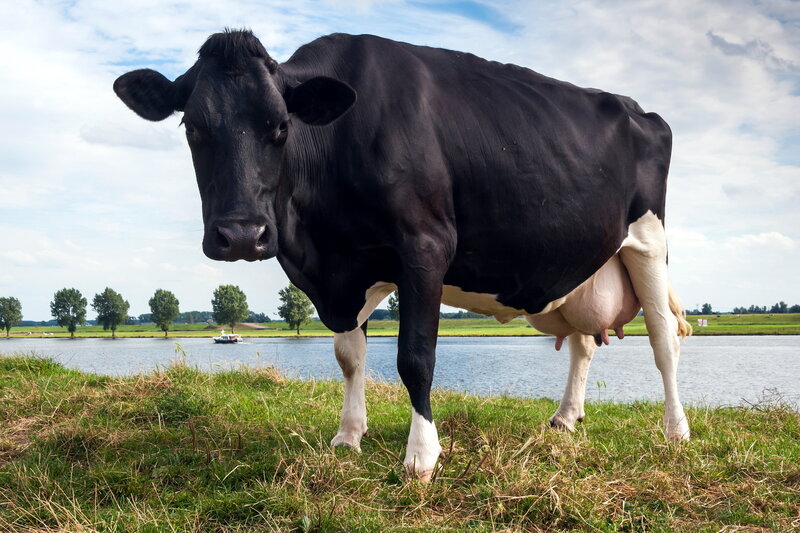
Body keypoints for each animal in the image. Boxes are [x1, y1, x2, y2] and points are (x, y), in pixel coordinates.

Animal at [114, 29, 692, 481]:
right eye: (191, 127)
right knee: (583, 343)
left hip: (649, 242)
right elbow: (349, 358)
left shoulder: (424, 248)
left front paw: (422, 456)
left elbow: (415, 357)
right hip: (578, 268)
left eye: (280, 126)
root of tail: (642, 111)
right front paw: (348, 436)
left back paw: (675, 430)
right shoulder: (344, 271)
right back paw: (565, 419)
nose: (240, 235)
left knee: (664, 341)